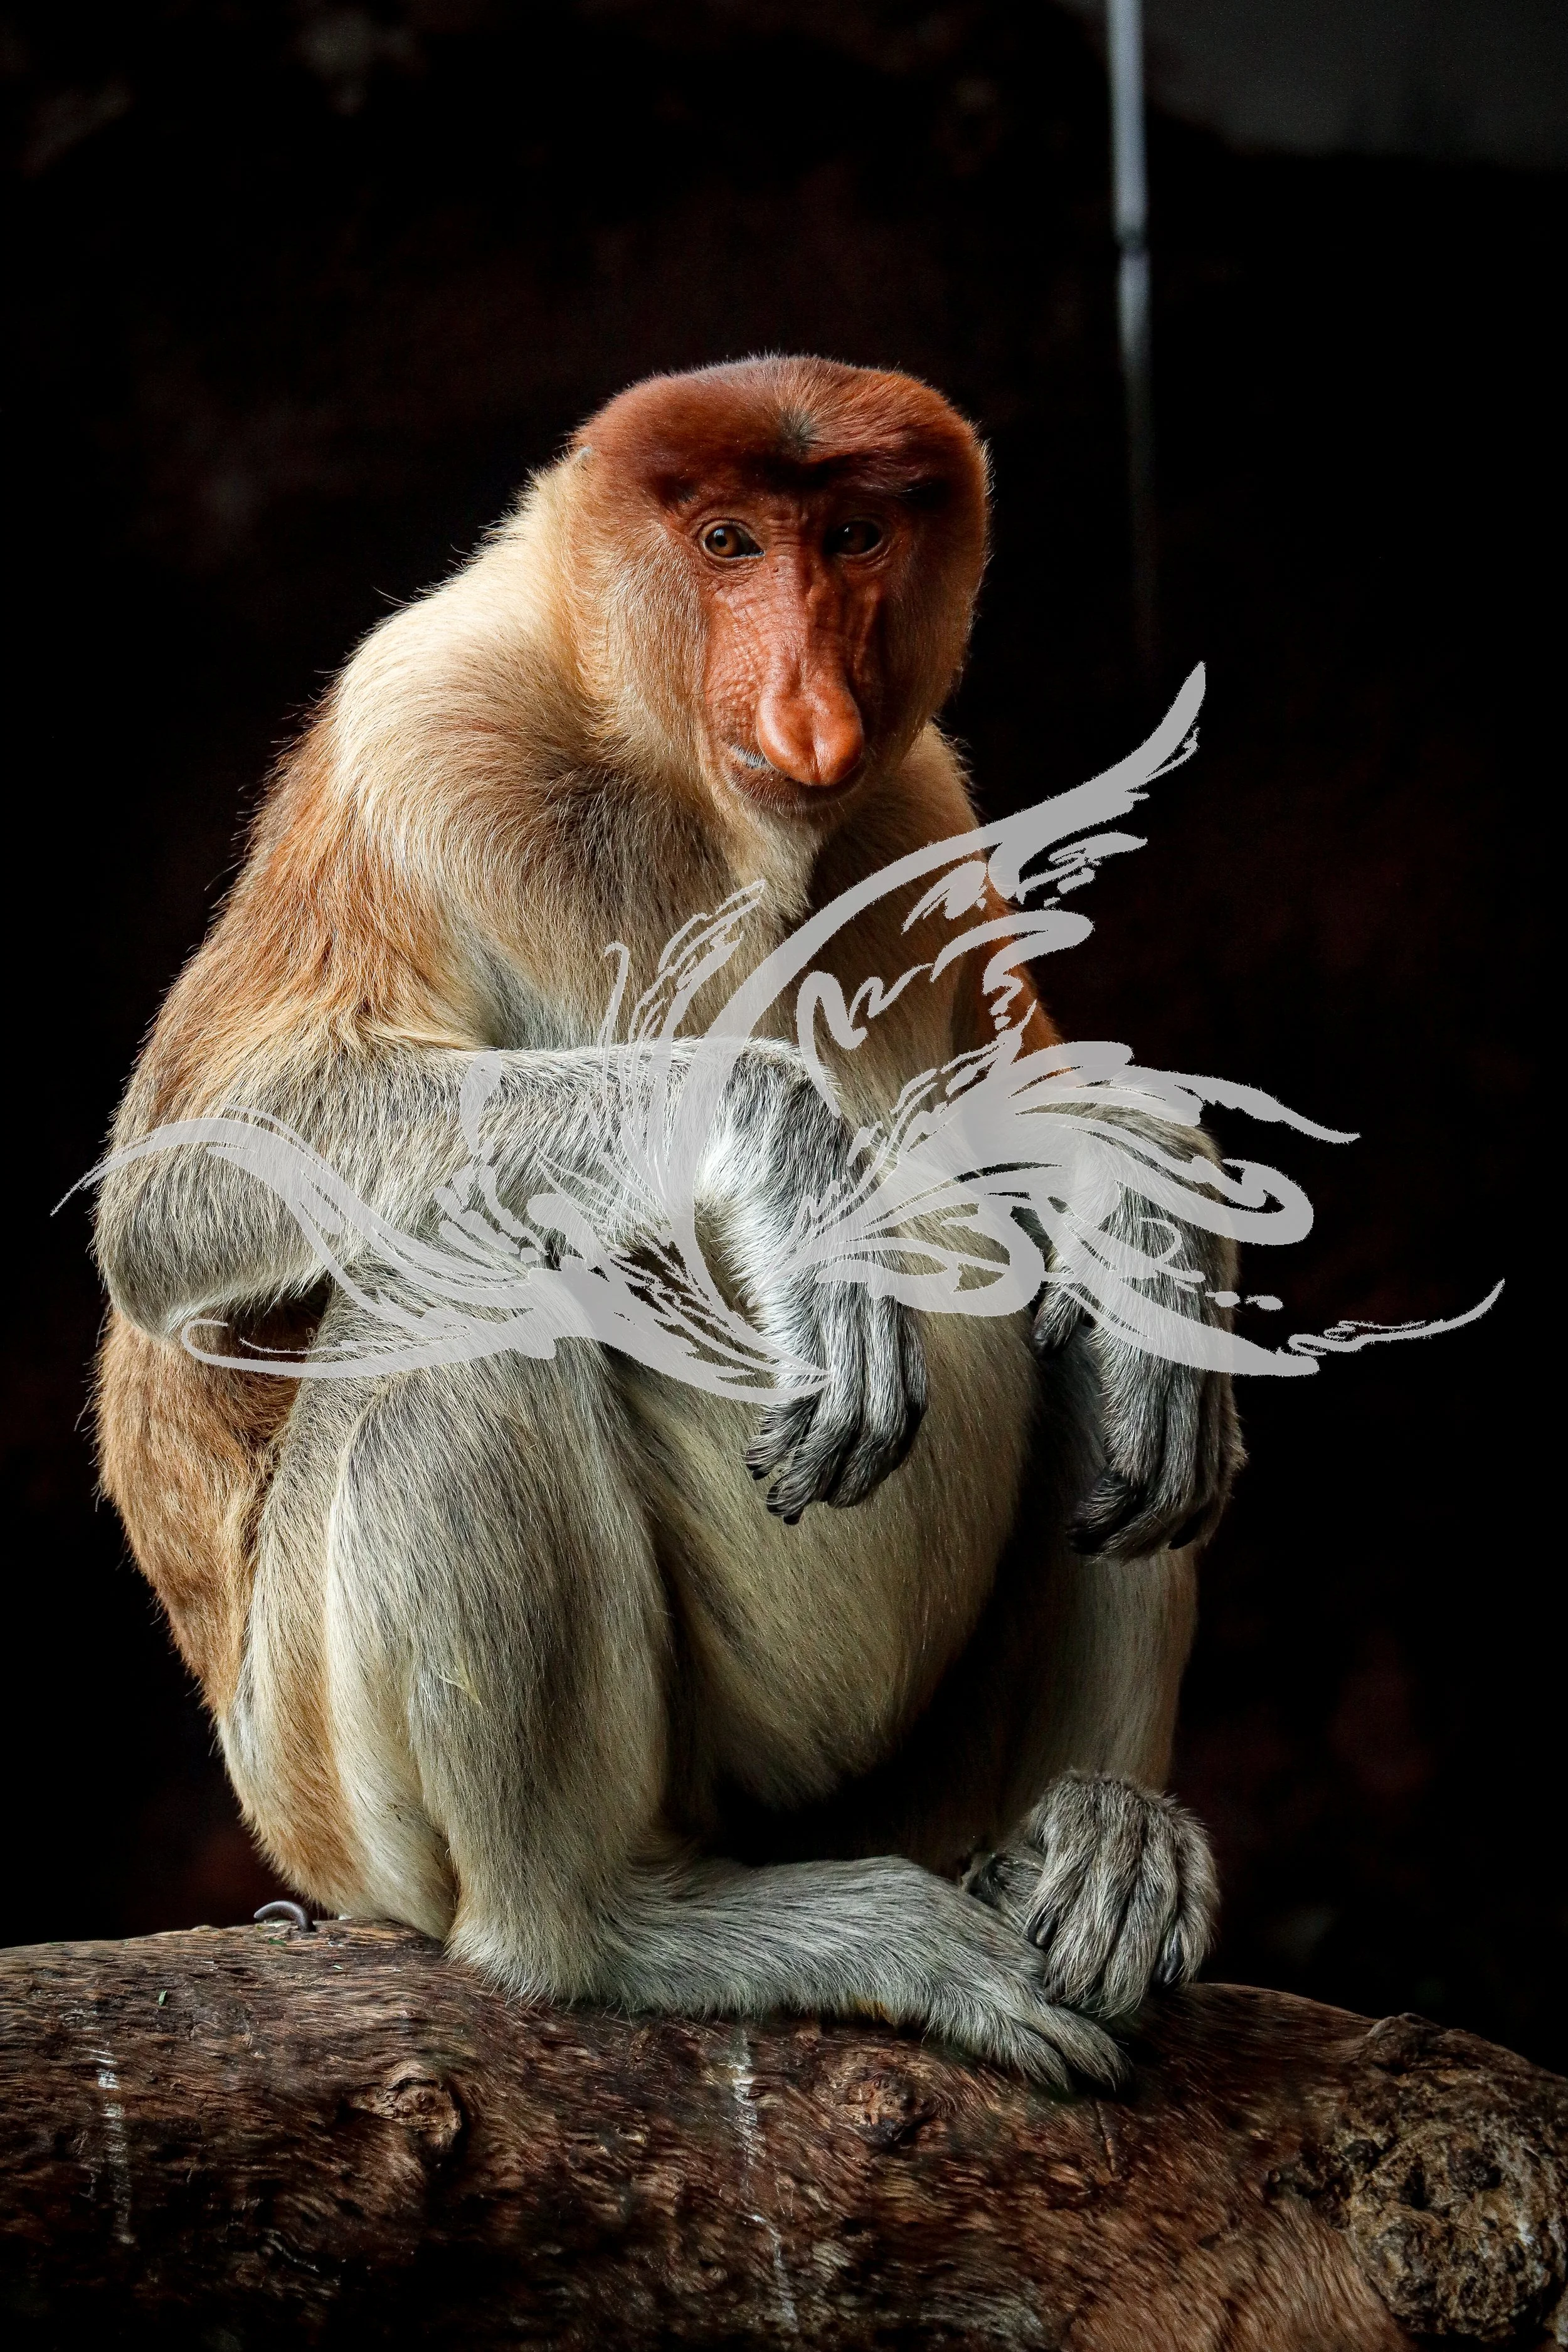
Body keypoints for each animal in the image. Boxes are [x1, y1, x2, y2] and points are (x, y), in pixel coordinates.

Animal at [93, 357, 1242, 2087]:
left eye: (851, 536)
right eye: (725, 543)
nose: (812, 706)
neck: (680, 790)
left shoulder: (919, 800)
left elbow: (1025, 1116)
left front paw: (1140, 1210)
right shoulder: (421, 734)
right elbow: (184, 1188)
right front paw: (782, 1155)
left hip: (912, 1781)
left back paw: (1095, 1830)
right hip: (325, 1787)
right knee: (469, 1275)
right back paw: (613, 1927)